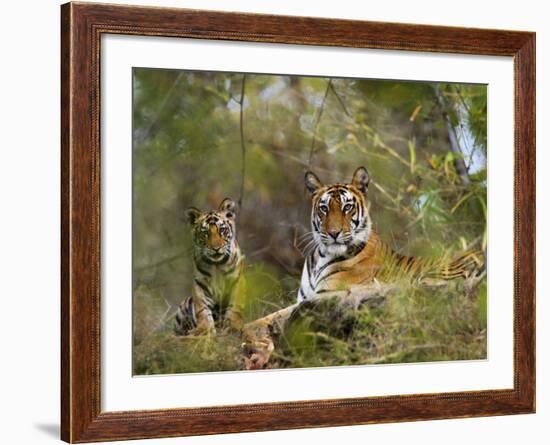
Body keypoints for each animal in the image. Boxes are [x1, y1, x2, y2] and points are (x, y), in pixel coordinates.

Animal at [176, 196, 247, 334]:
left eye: (222, 230)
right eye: (205, 234)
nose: (216, 248)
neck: (217, 264)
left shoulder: (237, 281)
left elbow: (235, 307)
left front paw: (233, 326)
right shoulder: (200, 285)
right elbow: (202, 309)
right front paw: (204, 329)